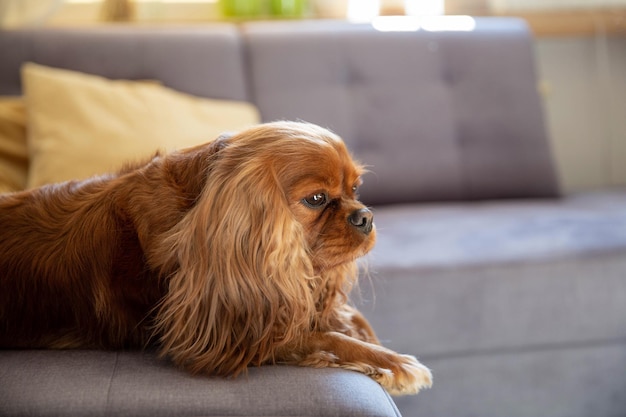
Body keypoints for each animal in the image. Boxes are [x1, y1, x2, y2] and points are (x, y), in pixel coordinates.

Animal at [0, 121, 428, 396]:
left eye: (356, 189)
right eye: (317, 199)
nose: (365, 216)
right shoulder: (218, 337)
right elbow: (324, 338)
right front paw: (394, 362)